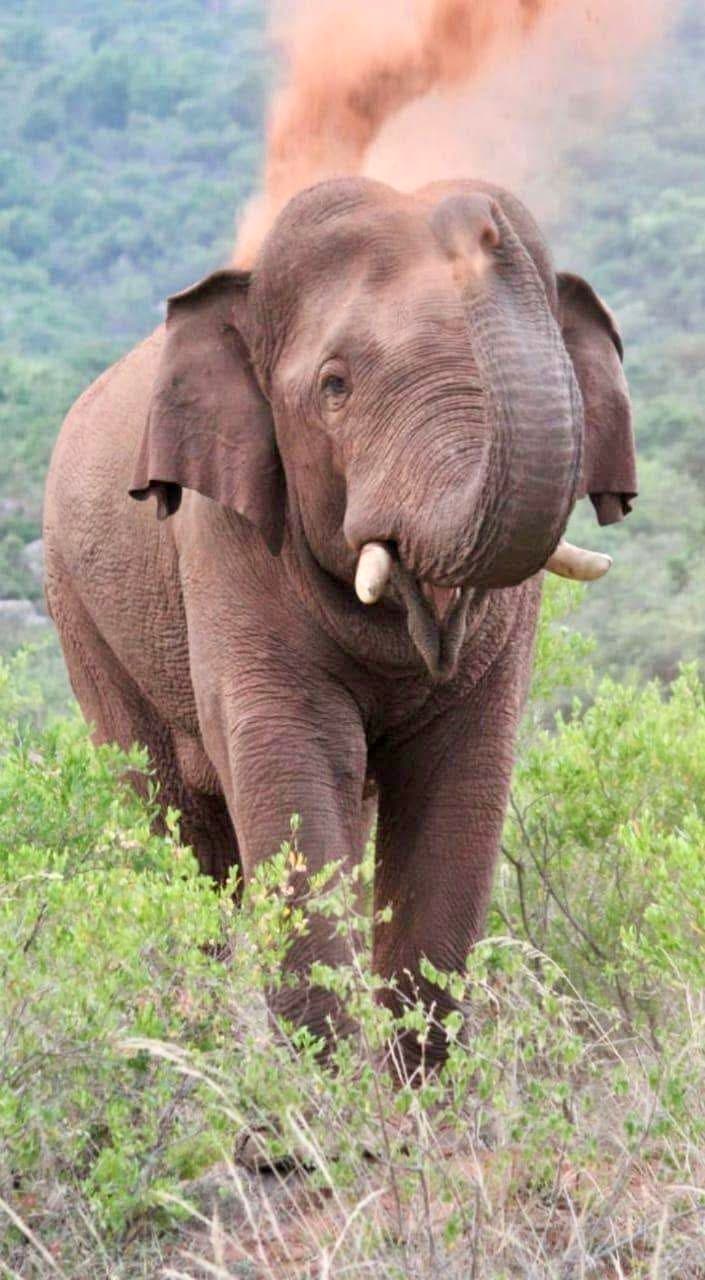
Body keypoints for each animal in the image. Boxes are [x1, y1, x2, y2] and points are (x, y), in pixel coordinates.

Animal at [44, 176, 636, 1068]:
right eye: (334, 386)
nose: (476, 220)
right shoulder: (224, 535)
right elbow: (290, 760)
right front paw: (322, 1087)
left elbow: (461, 779)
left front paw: (409, 1087)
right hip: (78, 611)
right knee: (176, 826)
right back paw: (194, 1035)